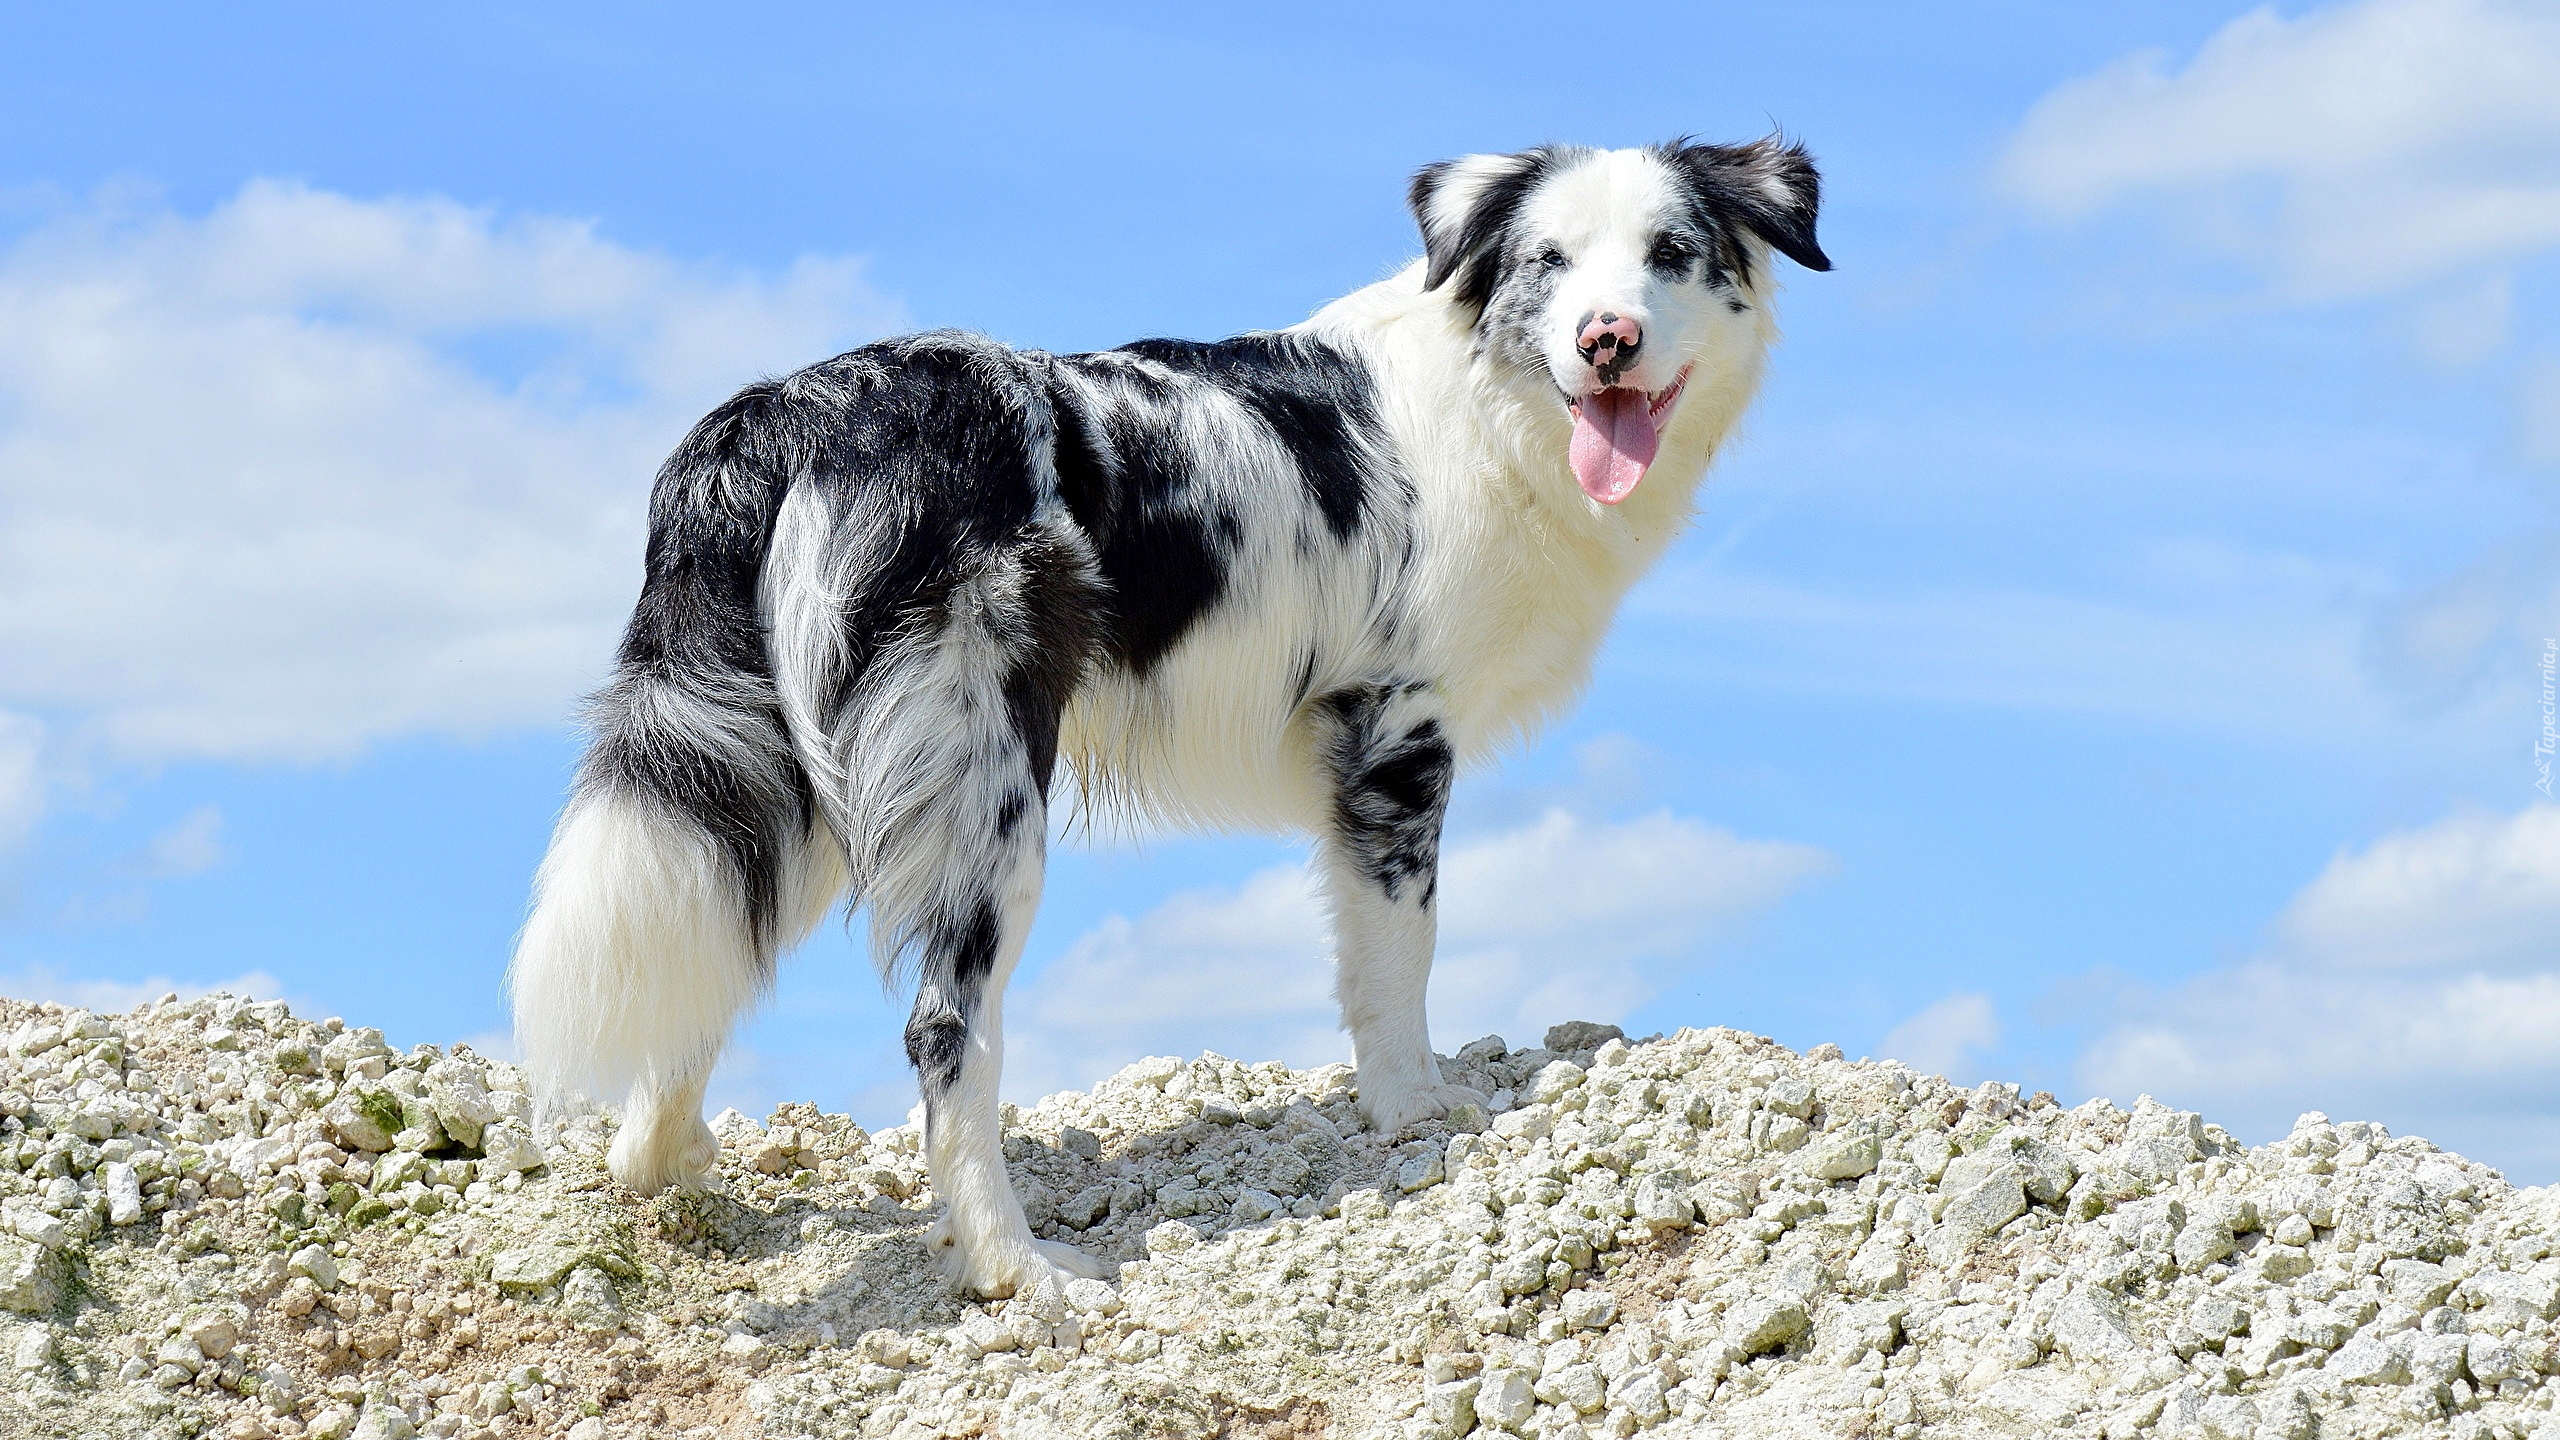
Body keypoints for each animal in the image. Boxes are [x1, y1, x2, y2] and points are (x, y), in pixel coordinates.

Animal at [504, 140, 1822, 1296]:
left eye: (1670, 252)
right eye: (1549, 259)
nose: (1609, 340)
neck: (1489, 403)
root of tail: (781, 413)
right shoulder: (1394, 733)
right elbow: (1398, 956)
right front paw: (1414, 1110)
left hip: (794, 764)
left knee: (713, 936)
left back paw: (665, 1164)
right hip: (988, 802)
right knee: (944, 1032)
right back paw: (1017, 1271)